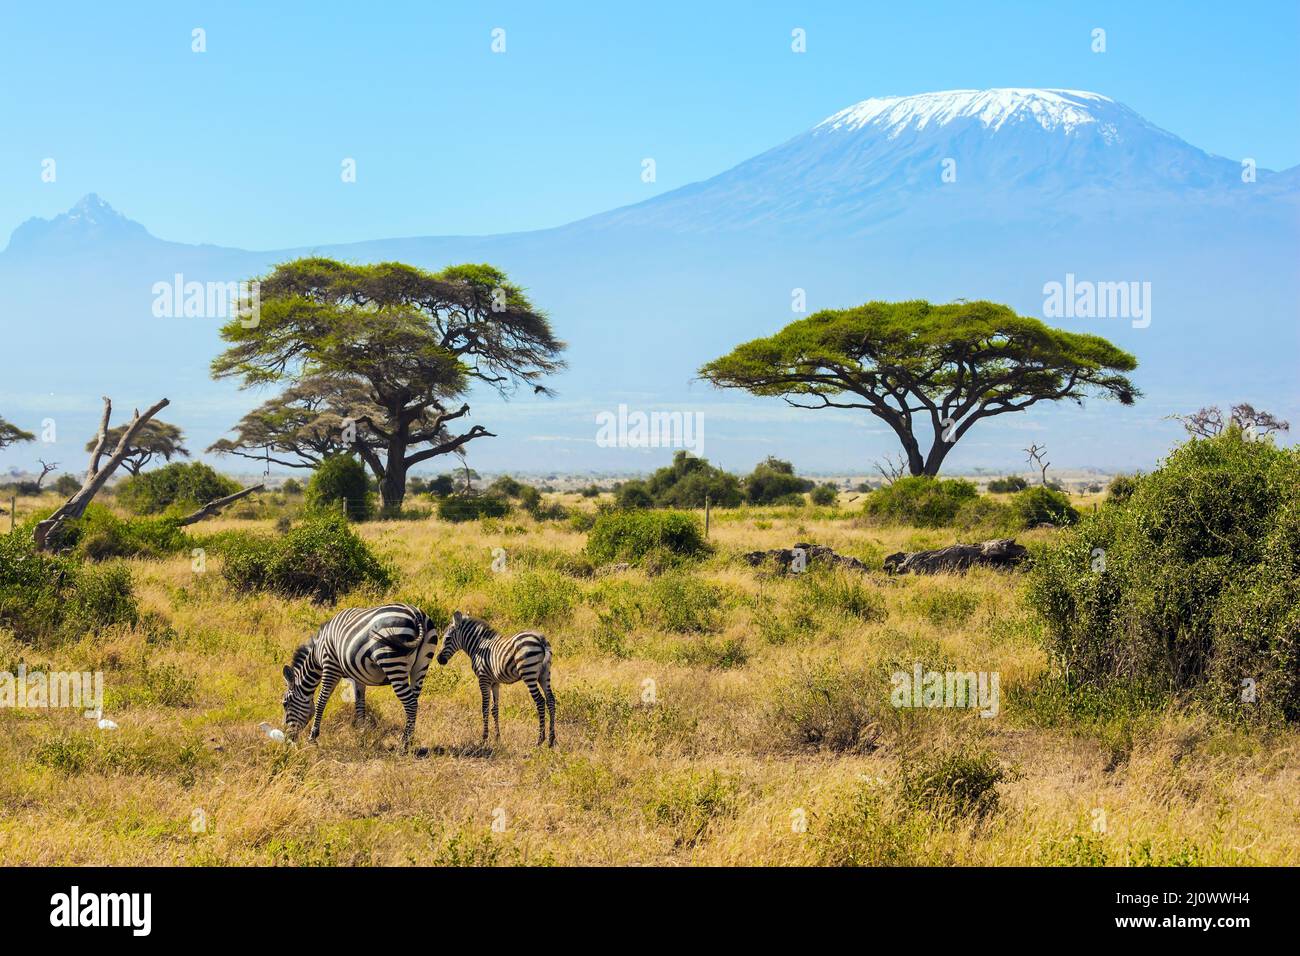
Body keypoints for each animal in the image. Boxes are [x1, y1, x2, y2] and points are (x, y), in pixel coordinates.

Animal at [279, 600, 441, 749]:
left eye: (285, 704)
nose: (287, 738)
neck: (317, 654)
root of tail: (416, 614)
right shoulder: (358, 676)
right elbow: (360, 704)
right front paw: (362, 735)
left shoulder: (330, 667)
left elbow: (321, 701)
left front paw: (313, 737)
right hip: (421, 666)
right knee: (414, 700)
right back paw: (410, 740)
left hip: (392, 662)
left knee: (411, 703)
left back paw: (404, 744)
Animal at [439, 613, 556, 749]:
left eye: (447, 639)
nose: (439, 659)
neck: (478, 647)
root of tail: (540, 639)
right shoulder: (495, 682)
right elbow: (495, 709)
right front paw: (497, 738)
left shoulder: (483, 679)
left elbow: (484, 708)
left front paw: (484, 738)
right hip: (544, 674)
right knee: (551, 700)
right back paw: (551, 740)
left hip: (529, 673)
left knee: (540, 701)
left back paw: (540, 740)